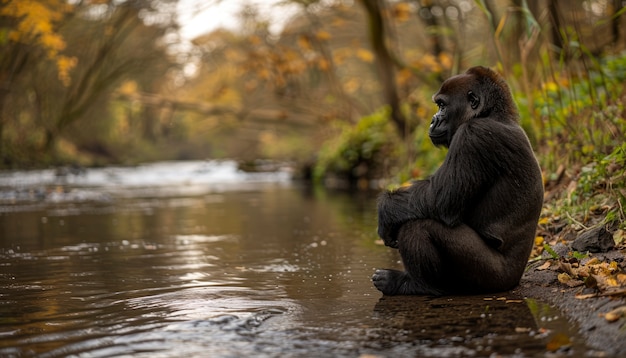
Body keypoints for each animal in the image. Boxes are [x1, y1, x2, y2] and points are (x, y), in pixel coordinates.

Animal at [370, 65, 540, 296]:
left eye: (442, 105)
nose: (433, 119)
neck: (496, 115)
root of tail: (516, 279)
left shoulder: (473, 135)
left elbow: (439, 200)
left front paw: (385, 211)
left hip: (494, 279)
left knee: (419, 225)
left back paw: (417, 285)